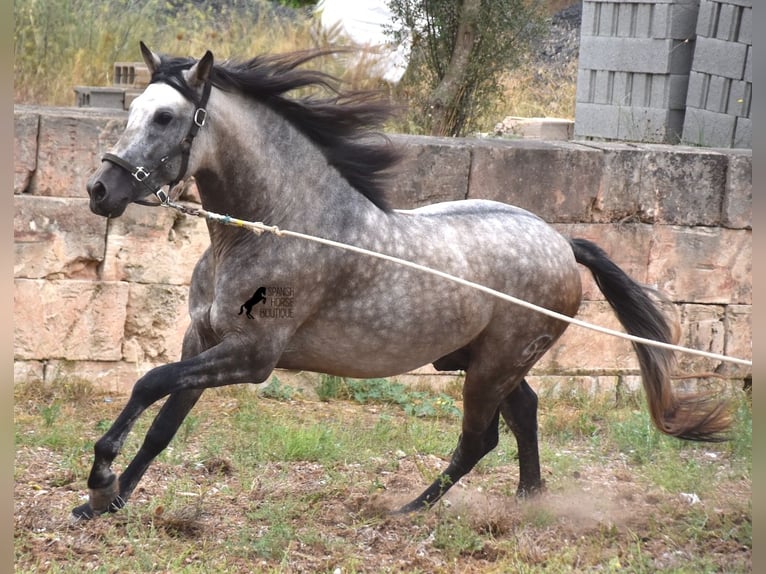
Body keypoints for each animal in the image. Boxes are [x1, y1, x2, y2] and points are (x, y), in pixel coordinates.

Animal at [72, 42, 732, 520]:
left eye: (166, 116)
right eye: (131, 110)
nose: (100, 190)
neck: (269, 230)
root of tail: (563, 244)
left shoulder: (251, 357)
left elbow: (148, 384)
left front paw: (101, 480)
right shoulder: (202, 341)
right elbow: (163, 423)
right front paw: (104, 504)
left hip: (494, 364)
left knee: (480, 439)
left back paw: (407, 510)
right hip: (484, 360)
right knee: (524, 413)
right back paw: (526, 502)